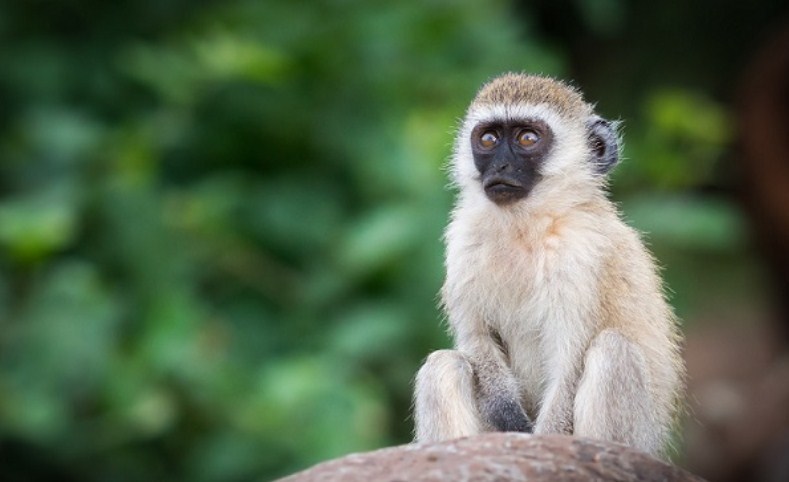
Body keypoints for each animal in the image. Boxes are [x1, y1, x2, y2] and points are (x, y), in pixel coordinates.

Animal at [412, 72, 684, 456]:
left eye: (527, 138)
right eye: (488, 139)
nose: (500, 167)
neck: (525, 226)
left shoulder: (579, 252)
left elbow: (569, 364)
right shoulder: (462, 238)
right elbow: (476, 336)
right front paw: (507, 411)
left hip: (640, 438)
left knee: (612, 352)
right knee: (443, 365)